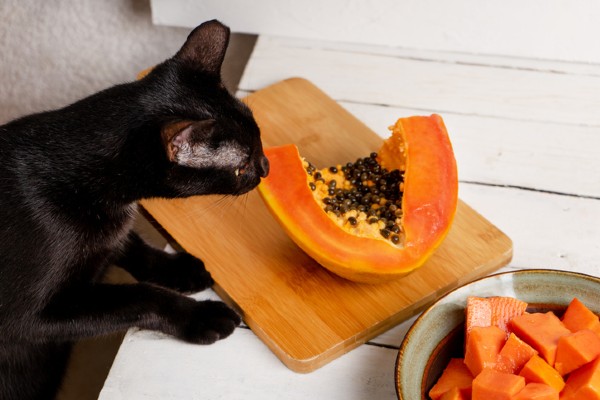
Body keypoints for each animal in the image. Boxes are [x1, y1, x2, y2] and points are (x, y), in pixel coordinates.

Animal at [0, 19, 268, 400]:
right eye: (241, 166)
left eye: (259, 139)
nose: (266, 166)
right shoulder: (25, 319)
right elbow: (136, 297)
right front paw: (199, 316)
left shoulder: (112, 231)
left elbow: (132, 246)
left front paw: (179, 269)